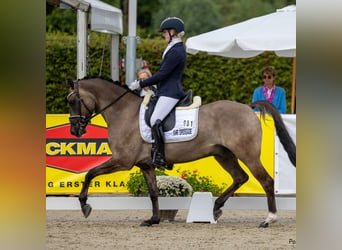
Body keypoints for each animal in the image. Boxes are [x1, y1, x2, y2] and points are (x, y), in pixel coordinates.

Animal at [67, 76, 296, 229]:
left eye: (72, 101)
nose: (75, 131)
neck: (123, 112)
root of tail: (248, 108)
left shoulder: (123, 161)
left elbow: (90, 174)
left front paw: (85, 206)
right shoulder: (145, 164)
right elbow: (153, 192)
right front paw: (153, 219)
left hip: (247, 154)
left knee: (266, 181)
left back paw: (269, 219)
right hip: (223, 154)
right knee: (241, 177)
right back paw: (216, 208)